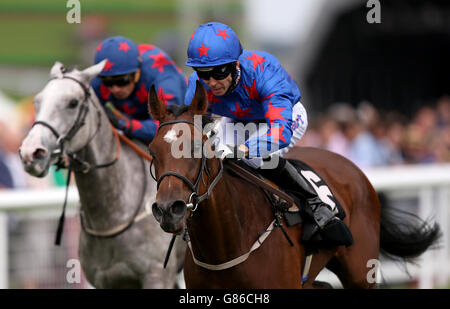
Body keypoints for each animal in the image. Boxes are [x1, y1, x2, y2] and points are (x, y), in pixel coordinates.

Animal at [18, 61, 185, 288]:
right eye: (37, 101)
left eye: (73, 103)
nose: (31, 153)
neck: (110, 216)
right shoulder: (104, 280)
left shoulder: (158, 275)